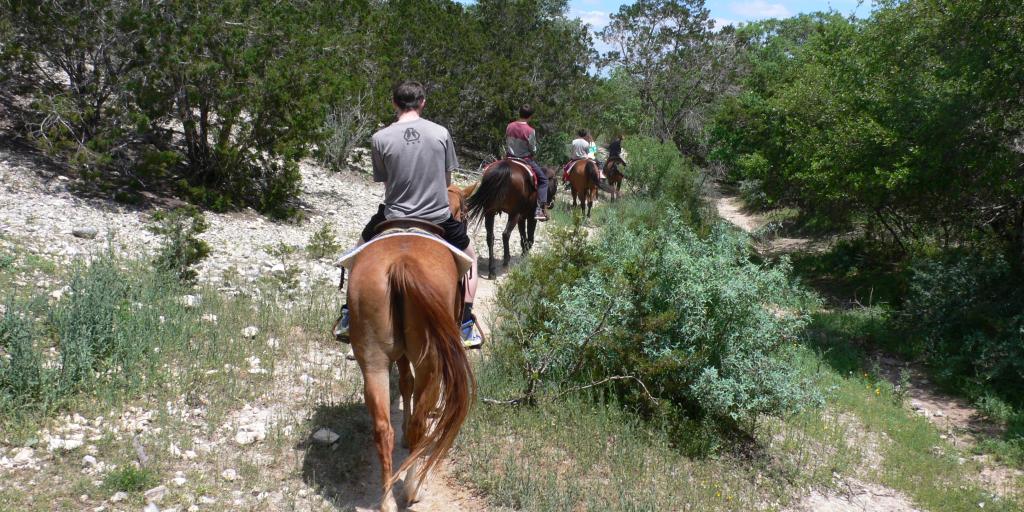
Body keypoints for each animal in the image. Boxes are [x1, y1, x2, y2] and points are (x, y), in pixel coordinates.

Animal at [344, 233, 471, 512]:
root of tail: (401, 263)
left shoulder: (400, 355)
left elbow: (405, 383)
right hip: (430, 364)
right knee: (419, 425)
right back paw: (412, 488)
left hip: (374, 363)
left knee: (382, 429)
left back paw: (387, 501)